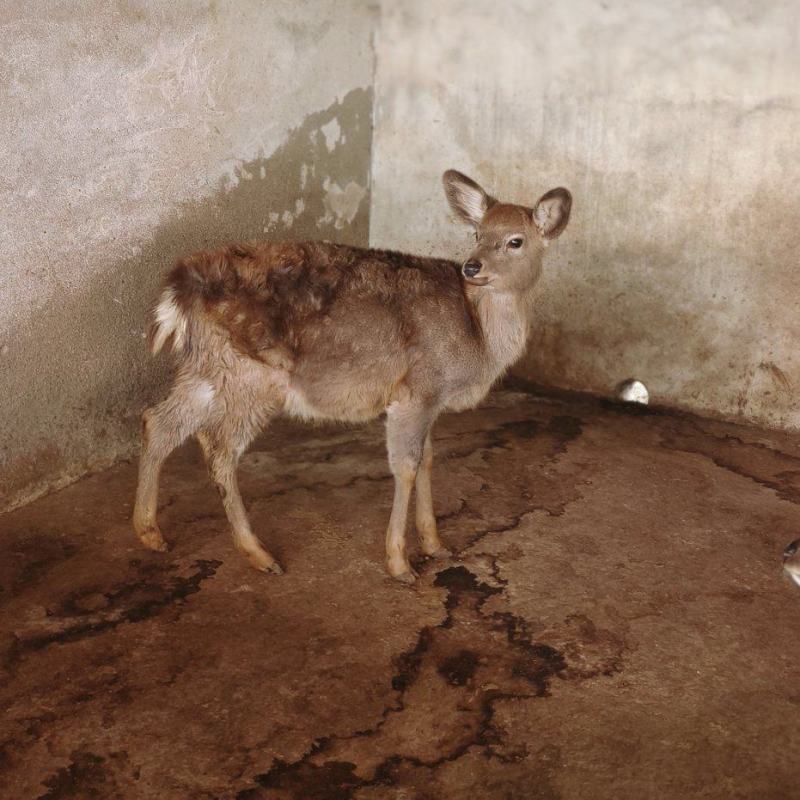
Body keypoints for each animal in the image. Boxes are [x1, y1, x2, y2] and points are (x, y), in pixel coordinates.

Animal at [133, 170, 571, 583]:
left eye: (515, 241)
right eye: (478, 234)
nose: (472, 266)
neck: (478, 336)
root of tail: (177, 290)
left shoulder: (431, 398)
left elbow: (429, 459)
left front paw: (435, 543)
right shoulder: (417, 389)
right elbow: (407, 465)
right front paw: (399, 562)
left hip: (207, 366)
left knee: (160, 420)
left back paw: (150, 532)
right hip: (248, 377)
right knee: (218, 447)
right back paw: (259, 554)